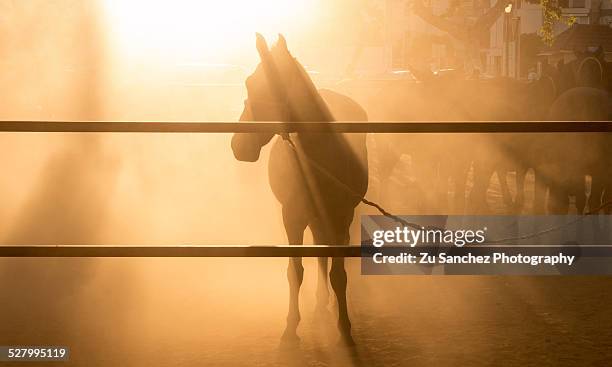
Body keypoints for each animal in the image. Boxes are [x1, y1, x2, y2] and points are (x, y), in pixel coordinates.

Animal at [230, 33, 366, 346]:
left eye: (258, 84)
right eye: (249, 82)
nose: (238, 145)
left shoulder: (341, 217)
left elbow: (339, 273)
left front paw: (345, 329)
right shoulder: (292, 217)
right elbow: (295, 271)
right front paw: (290, 328)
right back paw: (320, 303)